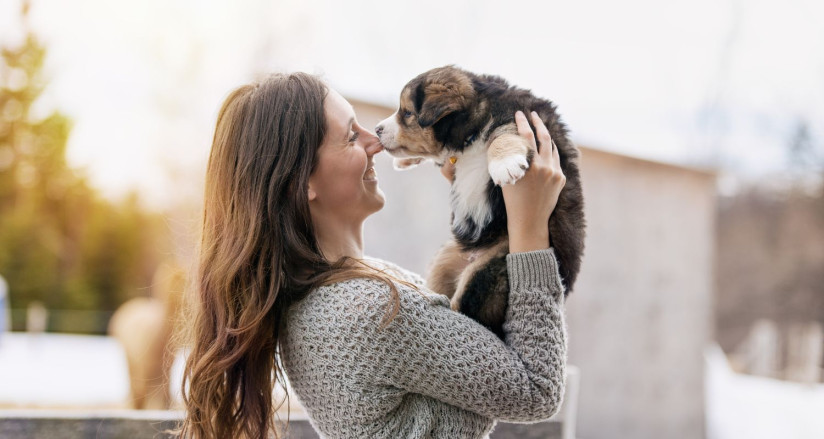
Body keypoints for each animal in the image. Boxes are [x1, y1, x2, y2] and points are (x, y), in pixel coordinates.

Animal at [376, 65, 584, 336]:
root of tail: (471, 256)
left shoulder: (525, 122)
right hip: (445, 259)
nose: (377, 129)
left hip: (491, 268)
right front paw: (404, 161)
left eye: (408, 113)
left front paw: (505, 164)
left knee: (470, 312)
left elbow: (503, 134)